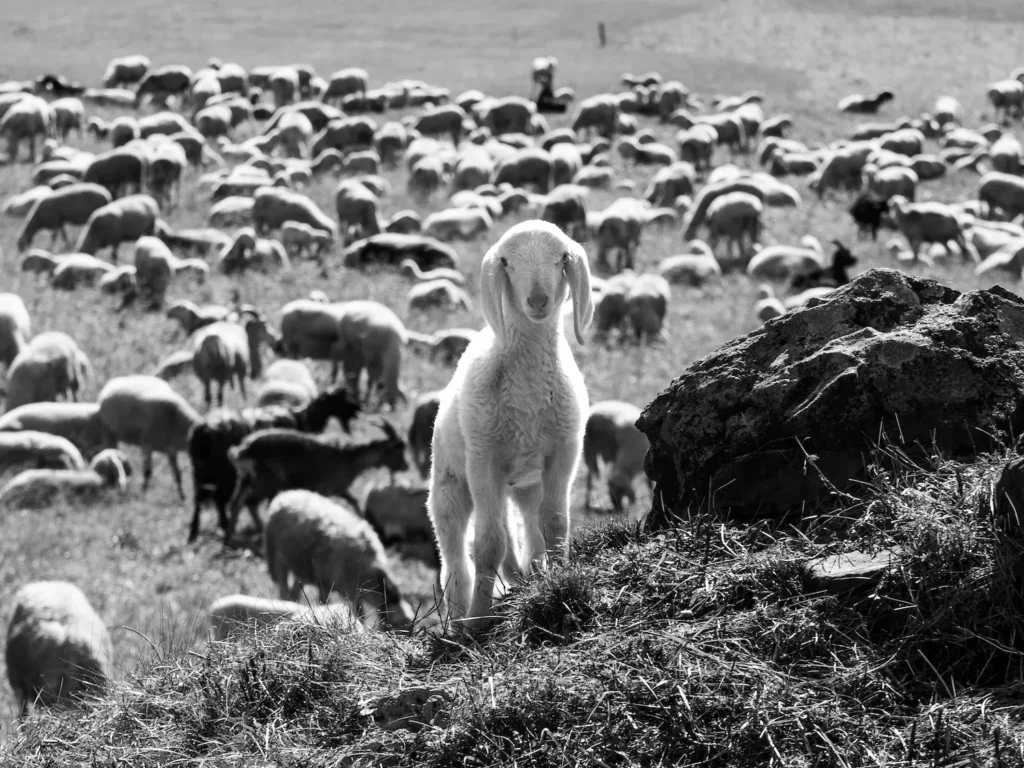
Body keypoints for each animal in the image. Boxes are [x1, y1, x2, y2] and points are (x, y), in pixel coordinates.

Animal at [186, 385, 361, 543]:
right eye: (343, 399)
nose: (359, 408)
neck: (303, 417)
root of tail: (204, 429)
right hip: (224, 472)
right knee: (219, 500)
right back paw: (223, 528)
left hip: (200, 470)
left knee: (200, 498)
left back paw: (195, 533)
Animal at [225, 419, 409, 543]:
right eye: (398, 450)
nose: (406, 466)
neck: (349, 457)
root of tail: (241, 451)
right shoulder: (325, 488)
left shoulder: (339, 489)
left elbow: (354, 501)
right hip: (267, 482)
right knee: (251, 504)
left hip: (246, 480)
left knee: (238, 504)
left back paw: (231, 538)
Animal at [263, 490, 415, 630]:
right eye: (397, 626)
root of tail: (285, 494)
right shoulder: (326, 583)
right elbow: (328, 604)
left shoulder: (353, 592)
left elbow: (360, 614)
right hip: (278, 558)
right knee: (283, 588)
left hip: (303, 567)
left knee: (295, 590)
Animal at [427, 220, 593, 633]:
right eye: (505, 261)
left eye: (562, 257)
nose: (538, 300)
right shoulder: (483, 459)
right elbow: (488, 544)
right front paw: (479, 620)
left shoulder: (564, 450)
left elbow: (555, 524)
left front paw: (562, 579)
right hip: (452, 483)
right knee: (456, 557)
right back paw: (458, 618)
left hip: (523, 482)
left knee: (528, 526)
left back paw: (530, 577)